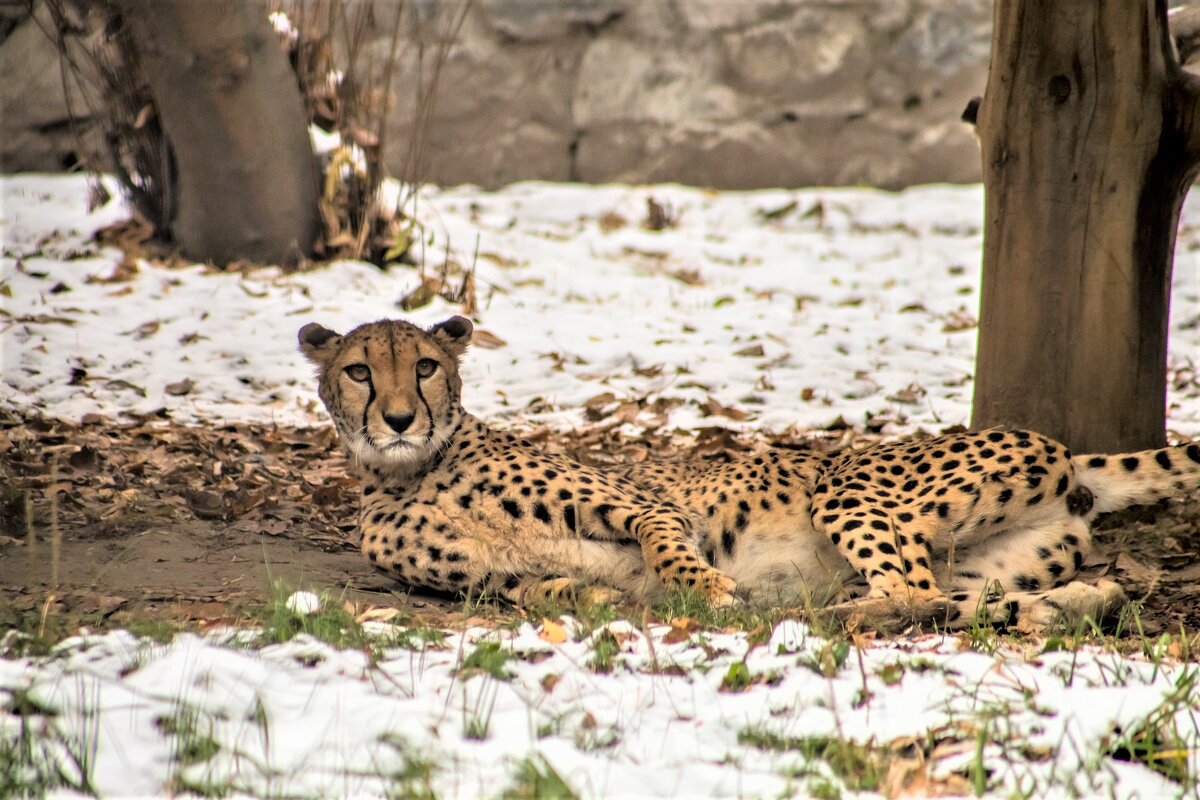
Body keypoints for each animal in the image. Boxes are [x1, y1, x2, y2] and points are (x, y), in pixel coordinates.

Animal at [302, 316, 1200, 628]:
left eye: (424, 367)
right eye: (359, 371)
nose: (397, 418)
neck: (412, 472)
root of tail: (1067, 451)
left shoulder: (645, 504)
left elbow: (668, 545)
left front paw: (708, 590)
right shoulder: (497, 579)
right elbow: (539, 590)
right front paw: (603, 601)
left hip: (845, 486)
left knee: (909, 593)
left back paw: (820, 612)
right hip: (997, 567)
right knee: (971, 602)